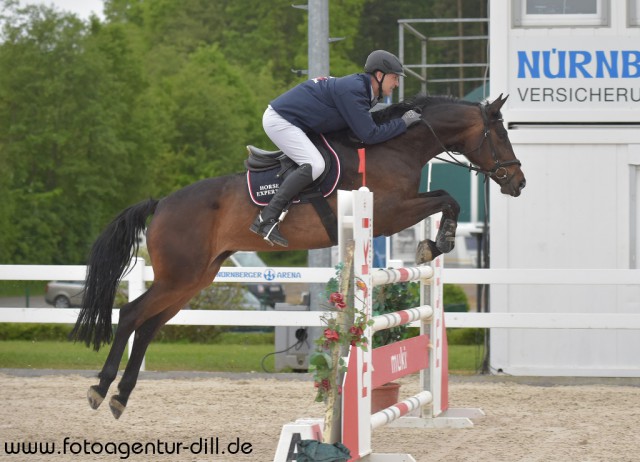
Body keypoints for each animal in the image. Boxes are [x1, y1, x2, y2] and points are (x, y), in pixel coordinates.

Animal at [69, 93, 524, 418]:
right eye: (501, 134)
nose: (517, 182)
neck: (397, 148)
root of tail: (161, 203)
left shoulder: (399, 210)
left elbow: (445, 197)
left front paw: (435, 243)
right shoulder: (391, 213)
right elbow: (448, 198)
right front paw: (437, 242)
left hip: (194, 279)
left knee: (148, 326)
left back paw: (121, 397)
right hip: (178, 277)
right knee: (131, 315)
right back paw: (100, 389)